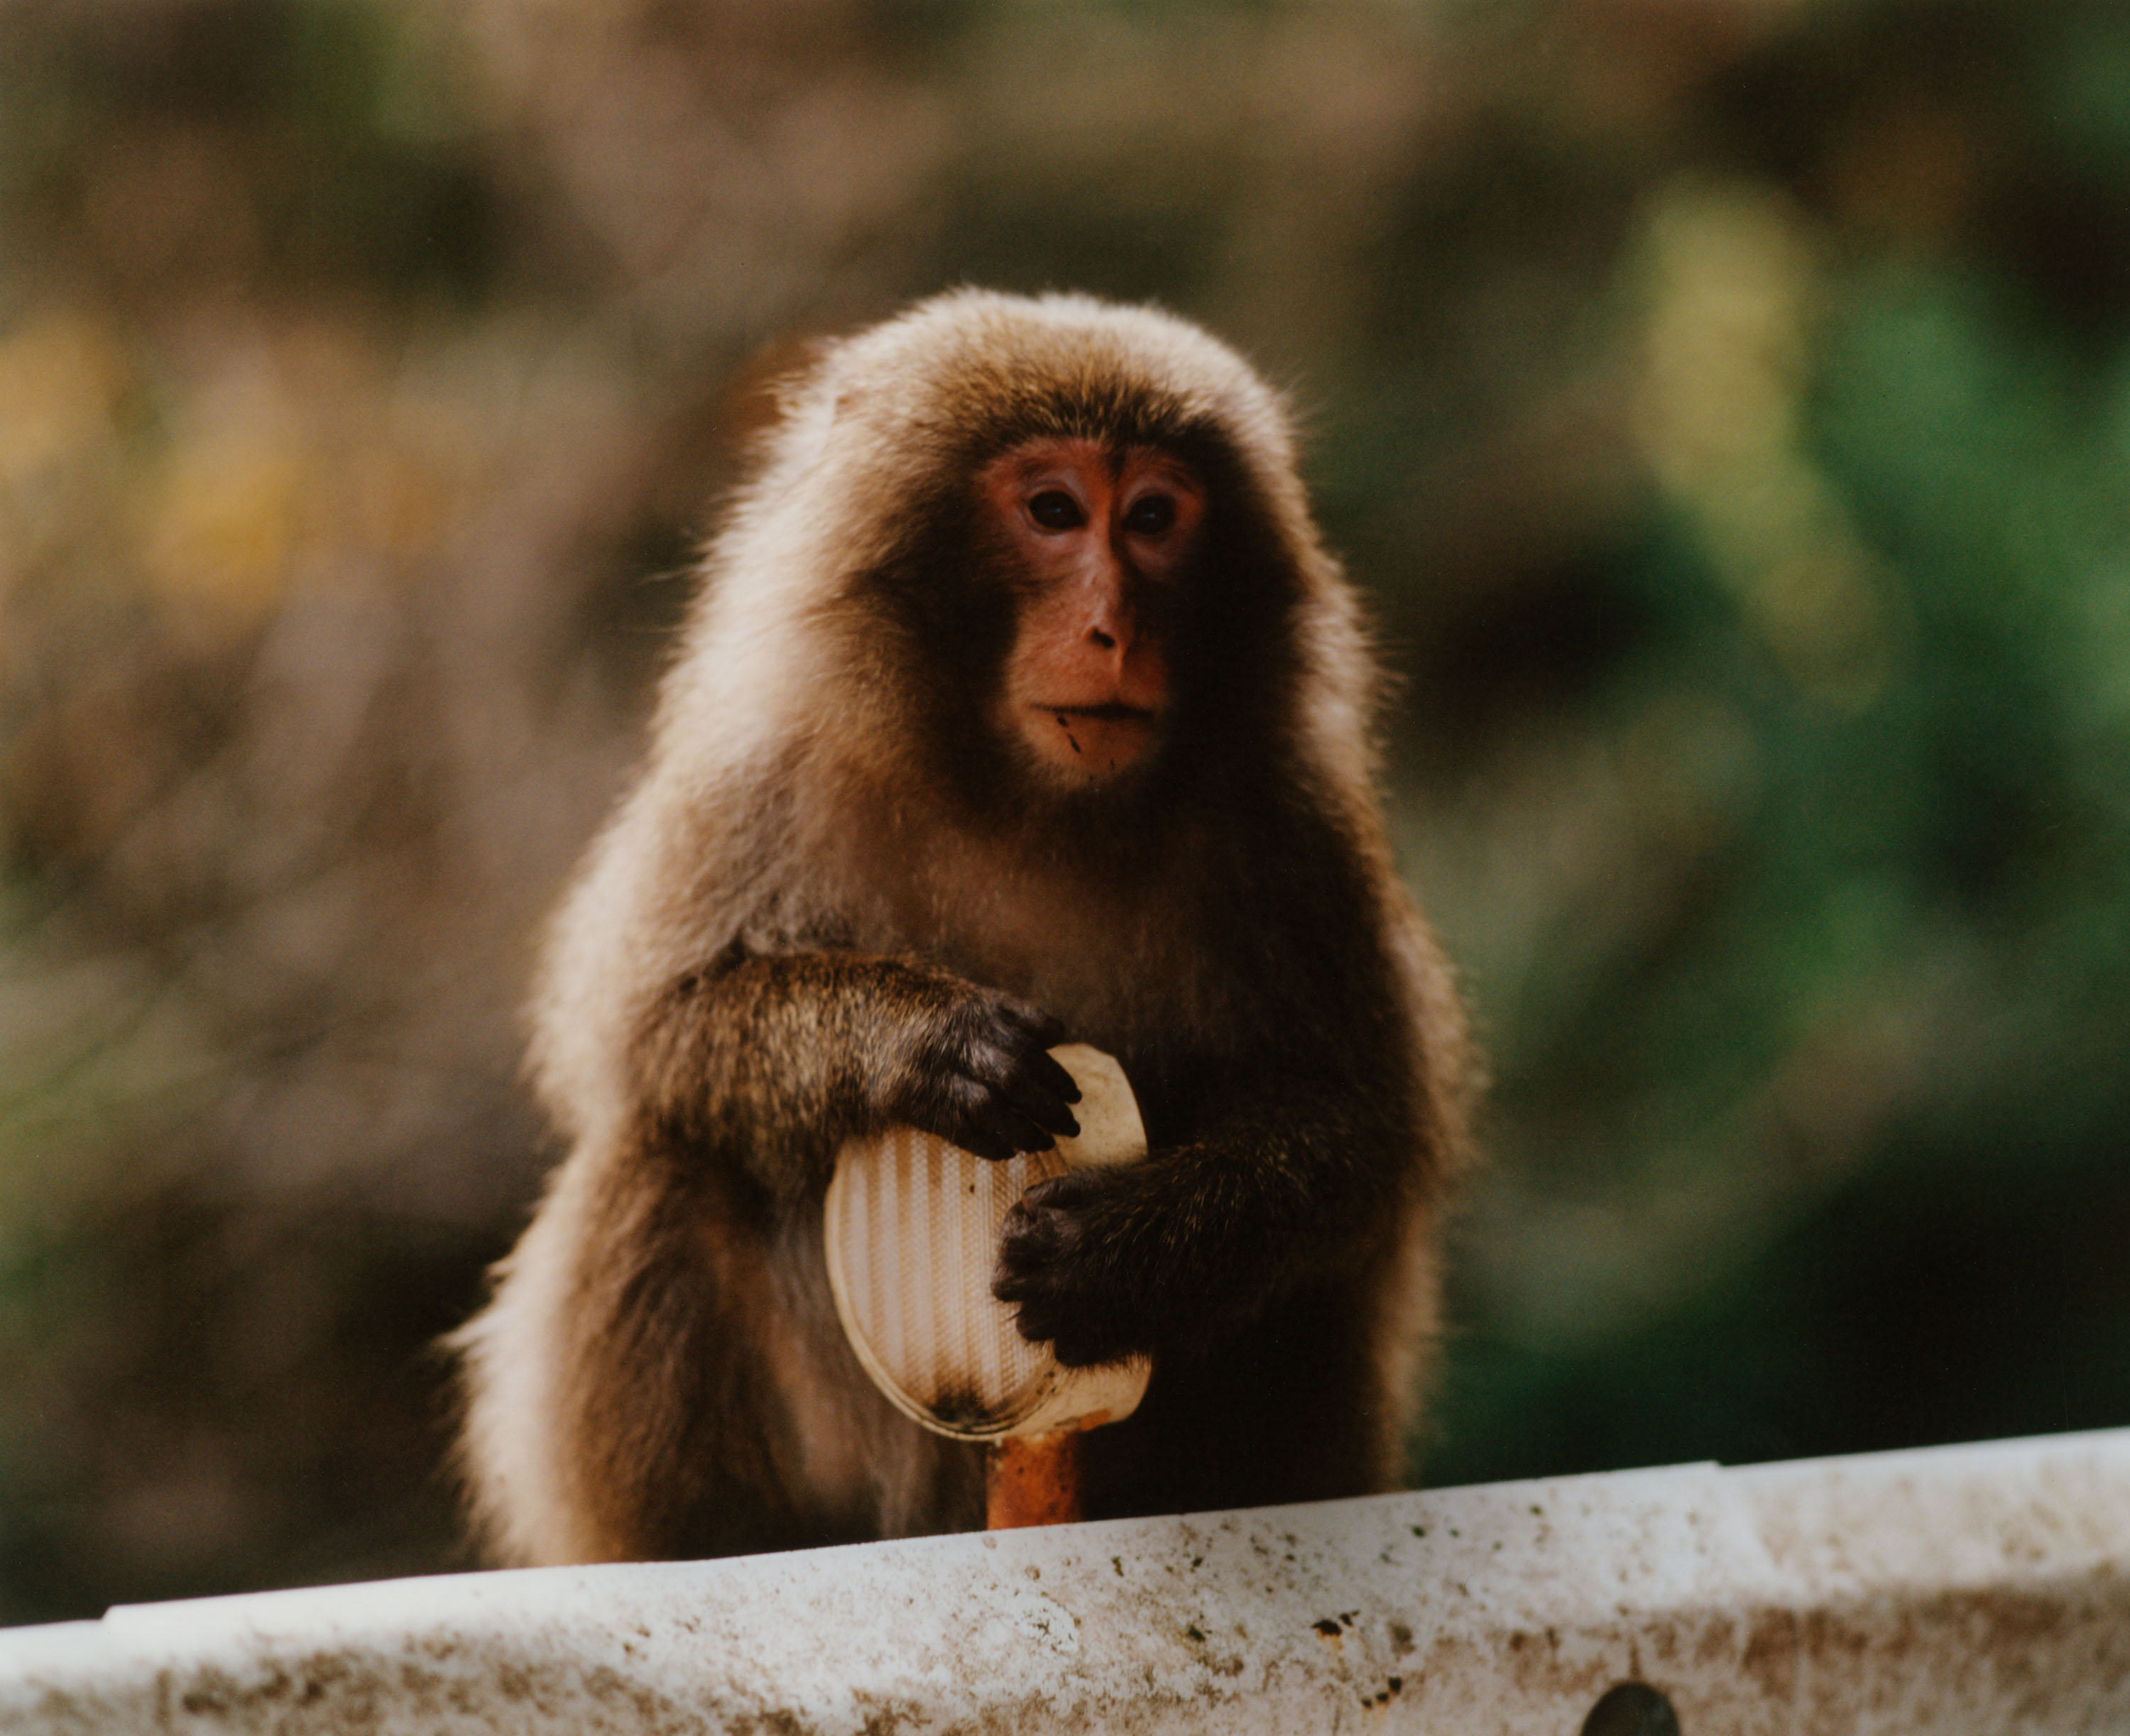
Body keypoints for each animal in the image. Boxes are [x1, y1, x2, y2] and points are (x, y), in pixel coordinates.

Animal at [452, 292, 1474, 1568]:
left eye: (1154, 518)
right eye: (1053, 511)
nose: (1114, 626)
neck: (1028, 795)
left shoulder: (1292, 818)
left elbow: (1357, 1124)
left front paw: (1134, 1252)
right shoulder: (762, 773)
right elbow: (653, 1033)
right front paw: (917, 1043)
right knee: (667, 1159)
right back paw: (712, 1545)